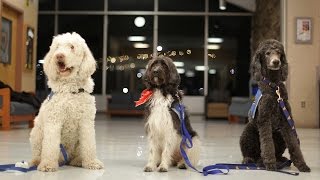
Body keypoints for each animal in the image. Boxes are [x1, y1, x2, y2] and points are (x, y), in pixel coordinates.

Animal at [29, 32, 104, 172]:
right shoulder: (54, 122)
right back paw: (37, 162)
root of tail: (66, 158)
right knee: (37, 152)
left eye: (72, 47)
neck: (70, 90)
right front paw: (48, 164)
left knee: (77, 154)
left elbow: (89, 145)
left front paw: (91, 162)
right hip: (37, 134)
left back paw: (79, 160)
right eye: (57, 47)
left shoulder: (86, 123)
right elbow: (50, 146)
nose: (59, 55)